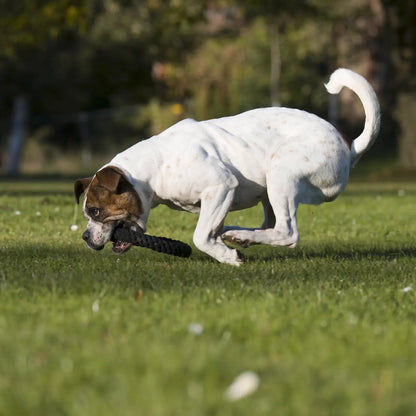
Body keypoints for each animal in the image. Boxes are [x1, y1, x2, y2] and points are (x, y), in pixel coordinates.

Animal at [74, 66, 380, 264]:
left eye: (96, 211)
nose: (86, 237)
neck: (153, 168)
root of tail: (349, 148)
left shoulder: (220, 186)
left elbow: (200, 236)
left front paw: (227, 257)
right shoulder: (217, 199)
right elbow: (209, 231)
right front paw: (224, 246)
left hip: (281, 171)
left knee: (287, 231)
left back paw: (240, 237)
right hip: (270, 189)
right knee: (270, 223)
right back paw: (241, 235)